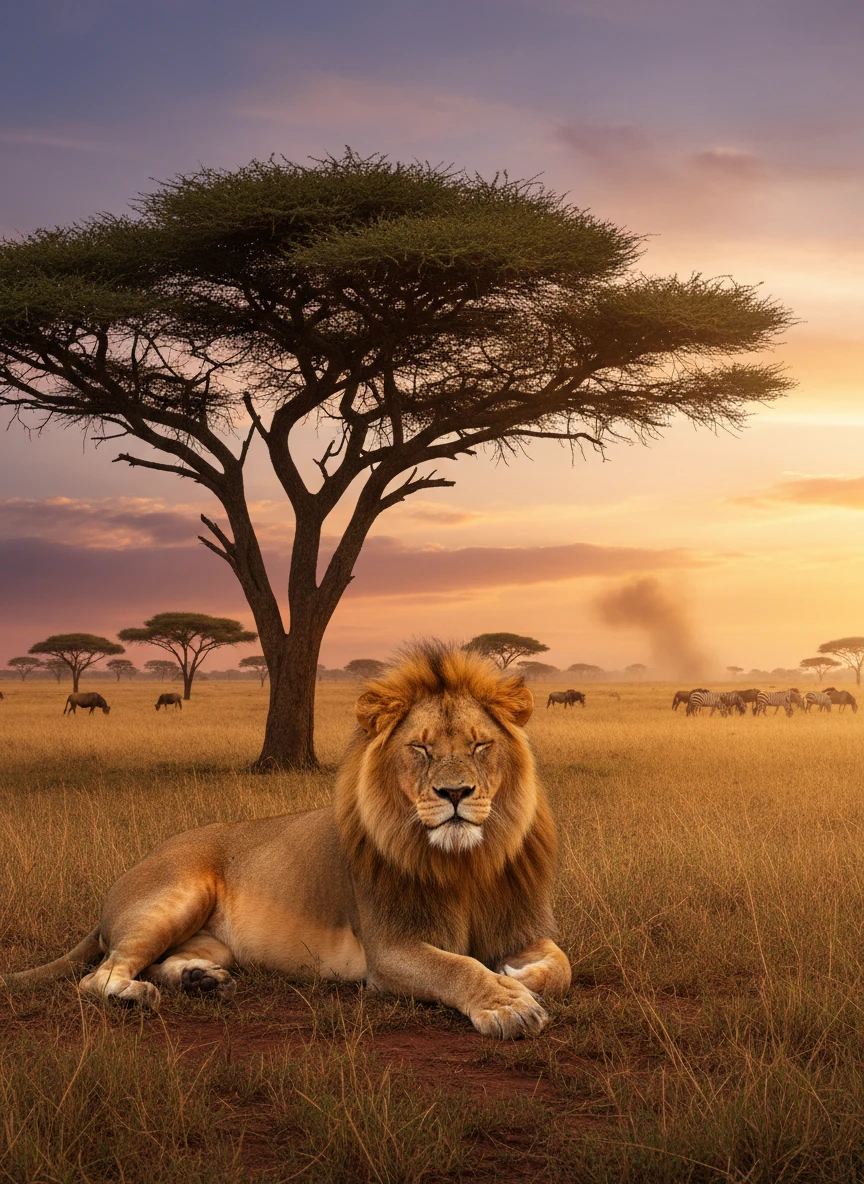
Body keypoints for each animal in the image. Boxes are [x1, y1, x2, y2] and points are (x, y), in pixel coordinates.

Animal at [6, 643, 571, 1038]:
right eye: (420, 749)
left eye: (480, 745)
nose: (455, 793)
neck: (467, 862)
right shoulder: (390, 949)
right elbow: (456, 966)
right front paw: (506, 1001)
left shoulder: (521, 925)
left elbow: (560, 966)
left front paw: (516, 975)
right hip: (177, 895)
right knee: (100, 975)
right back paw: (138, 993)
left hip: (212, 940)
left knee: (165, 961)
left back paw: (201, 980)